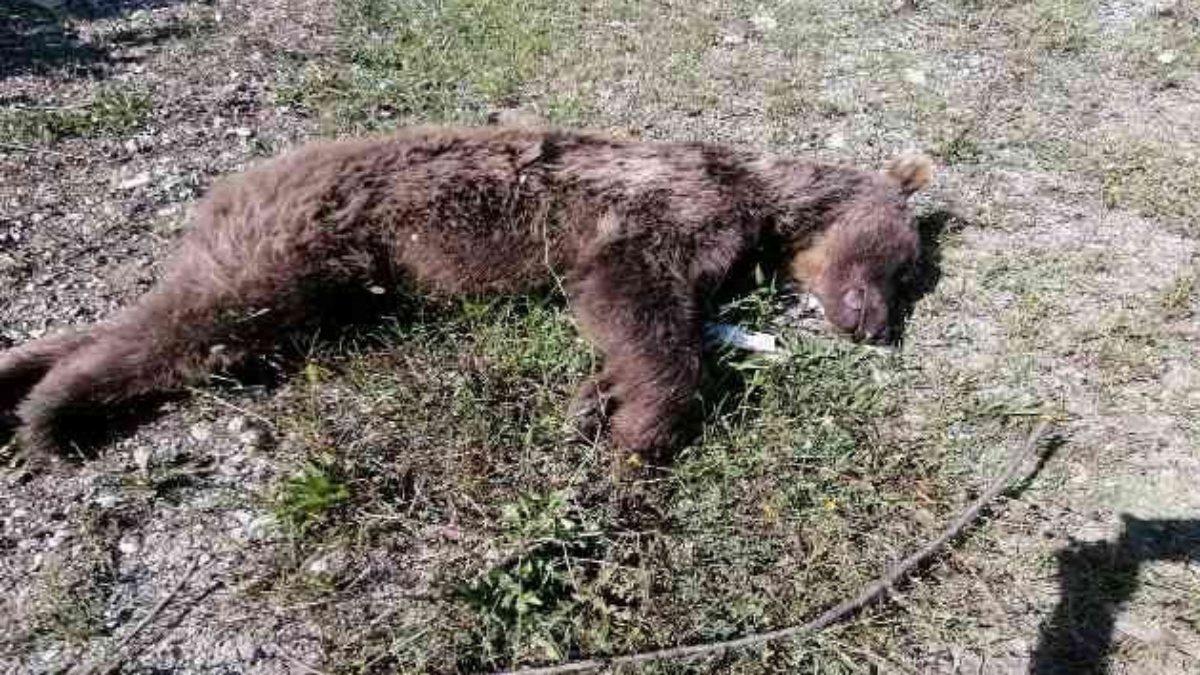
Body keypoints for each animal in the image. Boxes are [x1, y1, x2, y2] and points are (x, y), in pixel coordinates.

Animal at [0, 125, 936, 458]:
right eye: (903, 268)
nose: (875, 325)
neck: (756, 201)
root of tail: (229, 192)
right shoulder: (666, 212)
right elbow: (637, 306)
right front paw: (641, 426)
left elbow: (628, 327)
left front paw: (594, 401)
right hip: (292, 250)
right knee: (183, 328)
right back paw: (53, 415)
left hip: (321, 285)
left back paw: (22, 371)